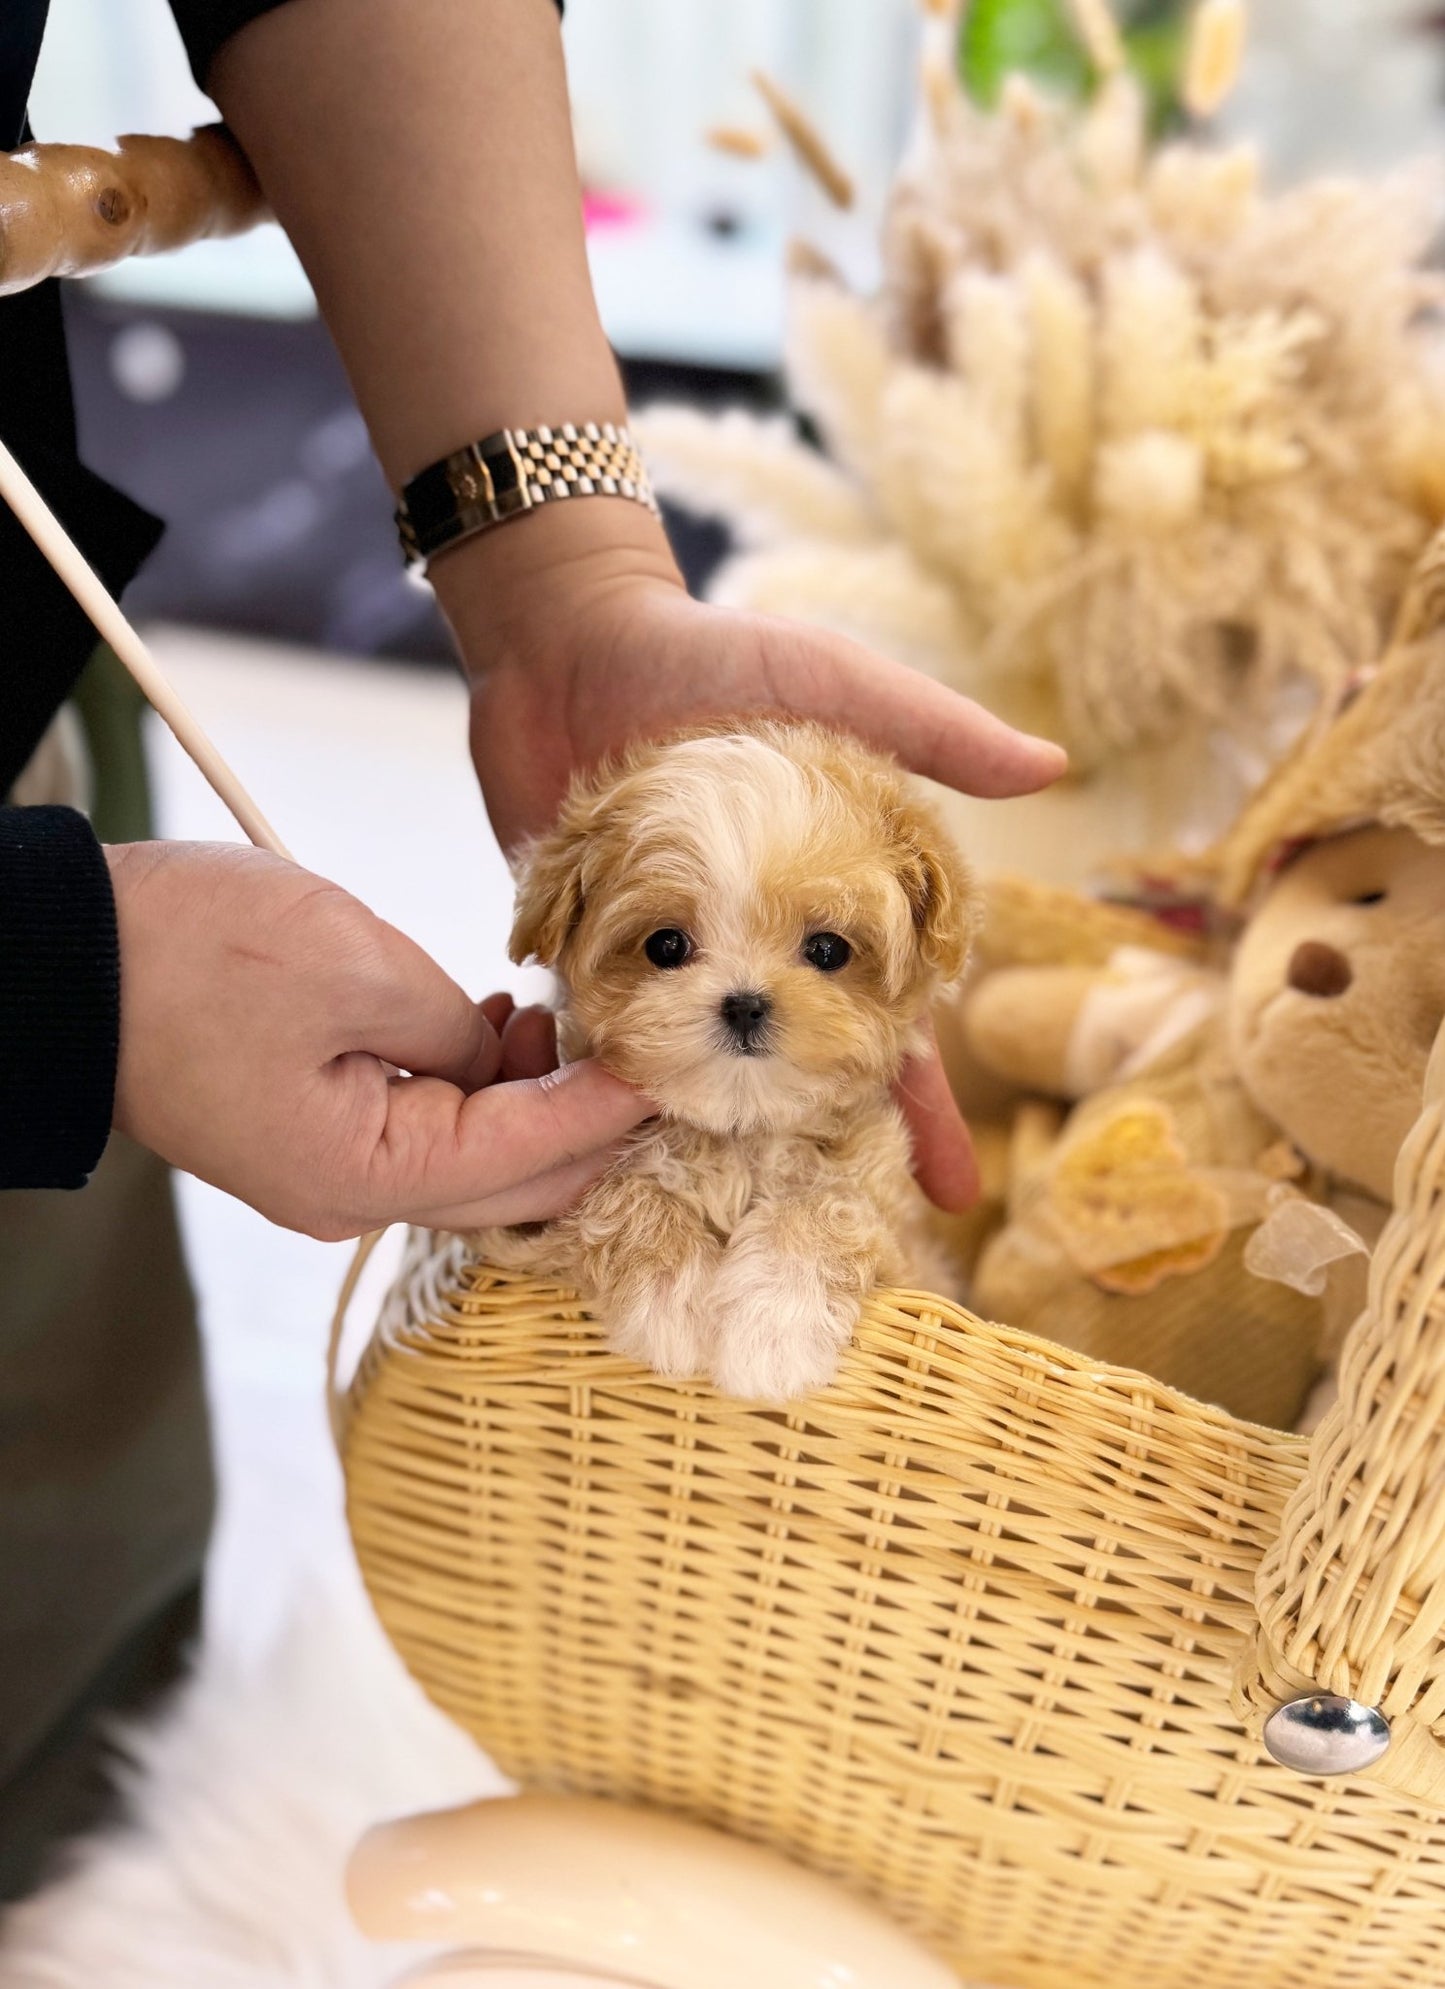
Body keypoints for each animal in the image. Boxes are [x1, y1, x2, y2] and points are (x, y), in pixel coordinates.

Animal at [481, 720, 979, 1400]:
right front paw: (672, 1302)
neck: (740, 1132)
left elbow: (832, 1206)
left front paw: (774, 1328)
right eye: (666, 946)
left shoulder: (907, 1251)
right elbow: (621, 1190)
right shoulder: (527, 1234)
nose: (745, 1004)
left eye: (828, 950)